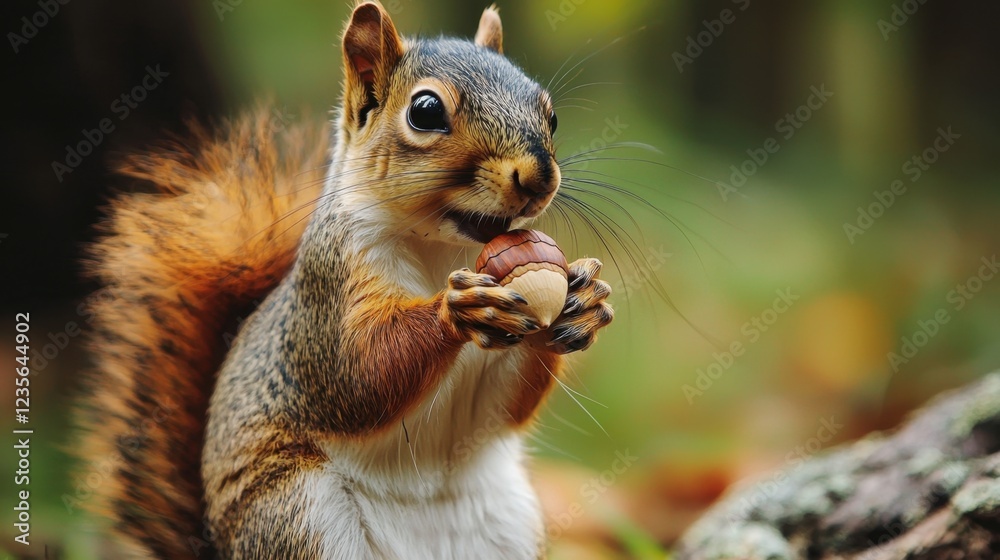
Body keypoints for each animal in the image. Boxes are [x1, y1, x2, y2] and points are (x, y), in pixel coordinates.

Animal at [78, 2, 614, 559]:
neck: (439, 249)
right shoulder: (329, 287)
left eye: (550, 113)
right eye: (425, 111)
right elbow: (356, 373)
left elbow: (503, 405)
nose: (538, 177)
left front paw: (585, 301)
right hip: (298, 516)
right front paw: (458, 308)